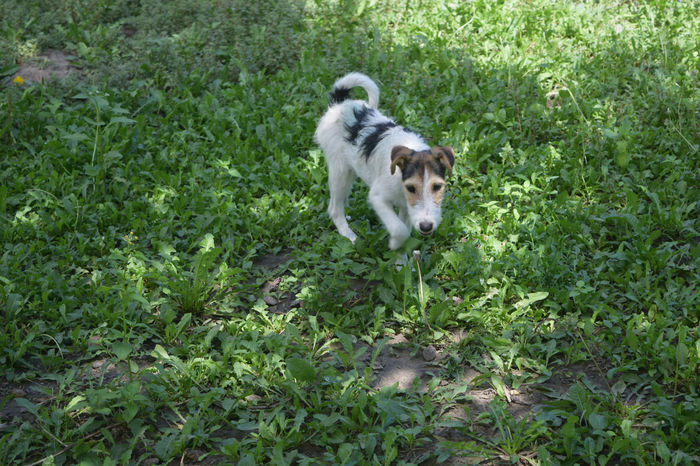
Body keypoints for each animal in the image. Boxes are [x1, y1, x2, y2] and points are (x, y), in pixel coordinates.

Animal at [314, 73, 456, 251]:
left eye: (437, 187)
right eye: (411, 188)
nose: (426, 227)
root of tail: (340, 103)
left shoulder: (406, 208)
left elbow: (405, 230)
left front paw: (400, 256)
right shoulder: (378, 197)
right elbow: (399, 229)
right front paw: (394, 244)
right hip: (340, 171)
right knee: (334, 207)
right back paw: (349, 236)